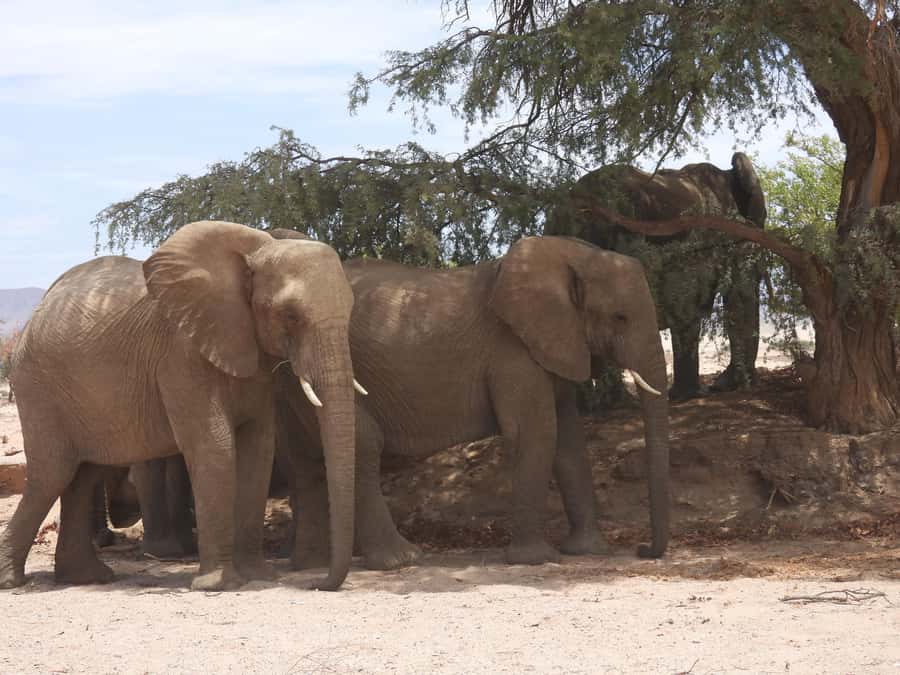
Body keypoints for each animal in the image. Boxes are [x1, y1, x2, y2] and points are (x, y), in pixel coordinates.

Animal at [0, 220, 358, 591]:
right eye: (290, 315)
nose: (317, 584)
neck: (257, 248)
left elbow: (258, 448)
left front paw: (257, 576)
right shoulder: (181, 355)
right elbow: (215, 445)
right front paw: (218, 585)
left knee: (83, 474)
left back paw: (88, 578)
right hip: (39, 386)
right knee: (53, 474)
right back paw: (13, 581)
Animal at [272, 233, 669, 570]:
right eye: (620, 317)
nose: (642, 549)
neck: (569, 255)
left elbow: (570, 442)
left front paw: (587, 551)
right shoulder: (512, 351)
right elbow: (534, 433)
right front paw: (535, 560)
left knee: (309, 459)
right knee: (358, 446)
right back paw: (390, 560)